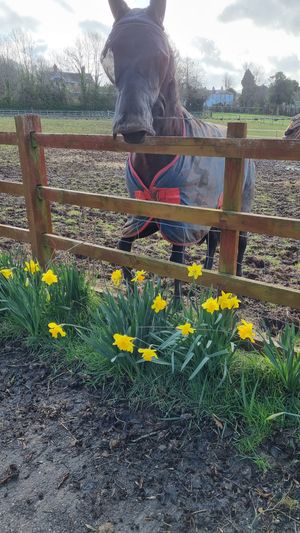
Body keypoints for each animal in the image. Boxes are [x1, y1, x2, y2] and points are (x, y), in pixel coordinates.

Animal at [102, 0, 255, 300]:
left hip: (239, 206)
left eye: (162, 54)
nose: (133, 126)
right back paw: (207, 276)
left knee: (240, 242)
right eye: (111, 52)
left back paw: (239, 284)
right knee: (214, 240)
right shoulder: (143, 216)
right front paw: (132, 297)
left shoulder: (180, 221)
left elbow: (177, 263)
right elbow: (123, 249)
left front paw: (174, 305)